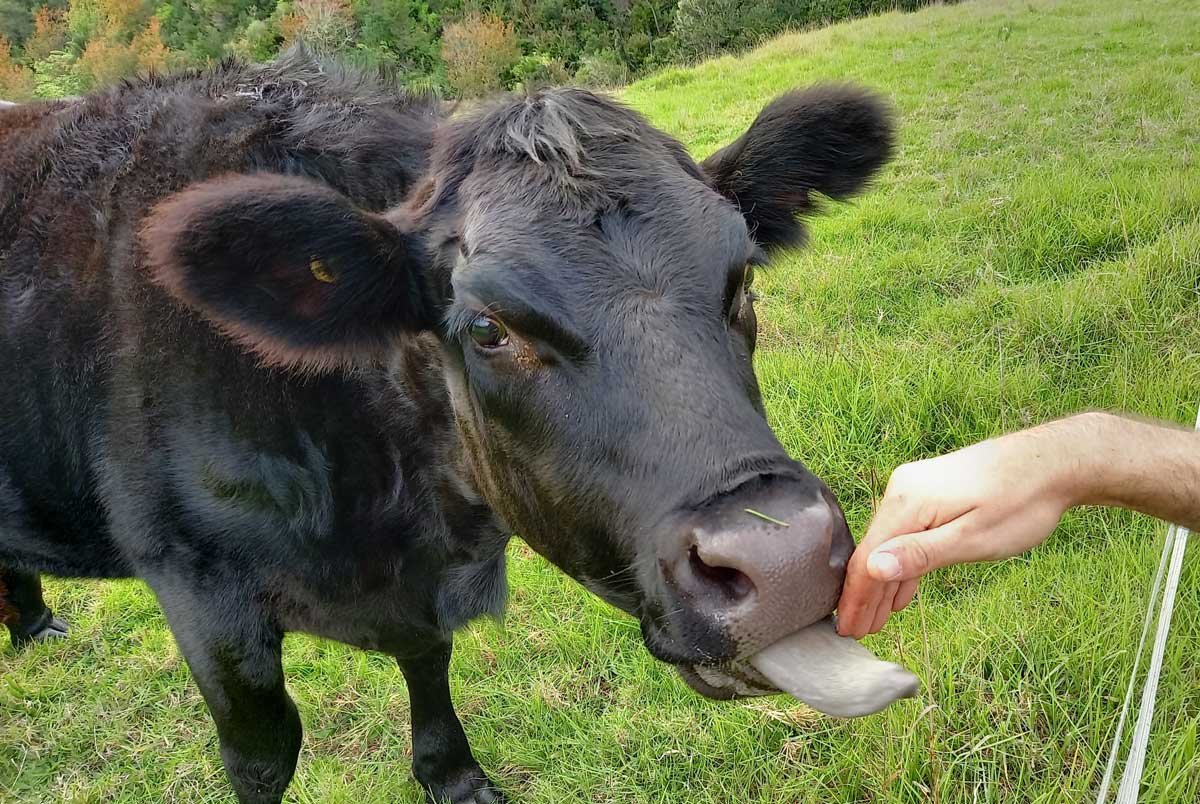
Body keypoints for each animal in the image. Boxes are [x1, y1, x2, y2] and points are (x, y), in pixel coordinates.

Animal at [0, 49, 896, 803]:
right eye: (487, 328)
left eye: (741, 277)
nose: (782, 560)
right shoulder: (197, 587)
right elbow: (263, 755)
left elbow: (430, 663)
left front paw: (453, 777)